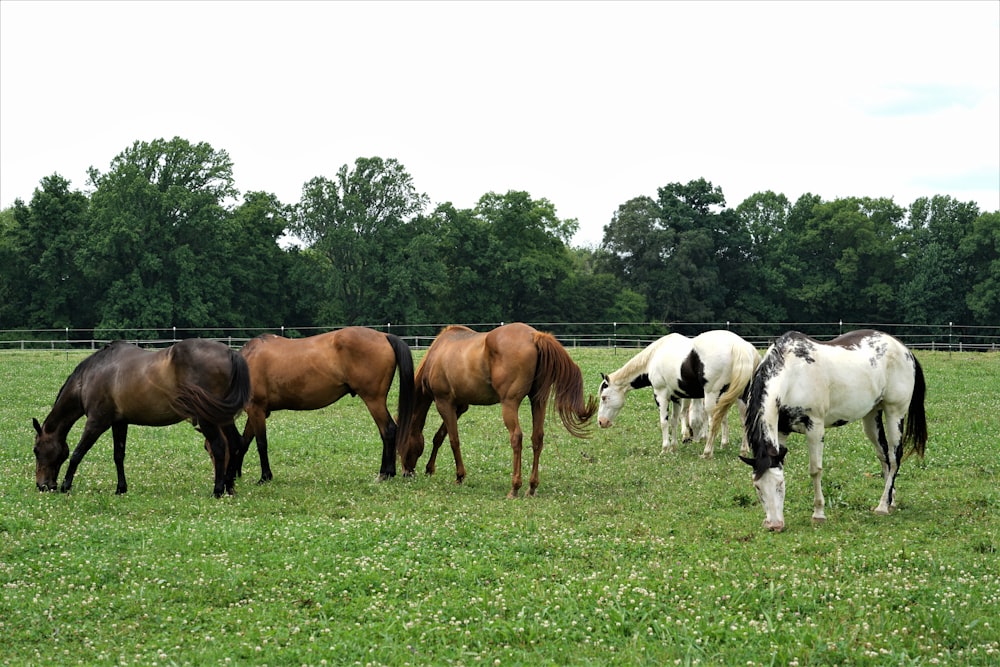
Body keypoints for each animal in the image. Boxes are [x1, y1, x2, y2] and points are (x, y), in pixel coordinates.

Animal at [33, 342, 252, 498]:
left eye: (36, 450)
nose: (42, 485)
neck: (91, 375)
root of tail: (230, 353)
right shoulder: (119, 423)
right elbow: (118, 455)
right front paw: (121, 488)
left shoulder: (97, 422)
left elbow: (78, 453)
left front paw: (66, 485)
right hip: (223, 417)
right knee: (235, 443)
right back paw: (229, 486)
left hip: (209, 418)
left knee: (219, 446)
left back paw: (218, 490)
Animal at [232, 328, 416, 480]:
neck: (249, 361)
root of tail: (384, 335)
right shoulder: (257, 411)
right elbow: (244, 442)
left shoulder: (256, 409)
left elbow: (261, 444)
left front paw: (265, 477)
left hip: (373, 400)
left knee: (388, 431)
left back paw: (385, 473)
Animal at [398, 324, 596, 496]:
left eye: (401, 445)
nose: (406, 473)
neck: (437, 354)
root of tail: (534, 336)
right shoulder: (459, 406)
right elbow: (439, 437)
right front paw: (430, 469)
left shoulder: (444, 402)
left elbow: (453, 440)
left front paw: (459, 476)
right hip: (538, 401)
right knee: (537, 438)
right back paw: (531, 487)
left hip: (509, 404)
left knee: (516, 437)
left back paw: (515, 487)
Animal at [592, 330, 756, 460]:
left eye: (604, 398)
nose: (601, 422)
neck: (654, 356)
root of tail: (738, 345)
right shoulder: (676, 398)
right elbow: (674, 421)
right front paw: (674, 447)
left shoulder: (661, 395)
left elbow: (664, 422)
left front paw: (665, 449)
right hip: (739, 397)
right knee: (742, 420)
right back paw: (743, 450)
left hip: (712, 396)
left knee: (714, 421)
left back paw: (707, 452)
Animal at [744, 330, 928, 532]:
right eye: (757, 487)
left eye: (780, 485)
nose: (774, 525)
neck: (793, 373)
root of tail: (905, 350)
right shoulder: (781, 431)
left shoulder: (815, 427)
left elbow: (815, 470)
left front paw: (818, 514)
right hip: (872, 417)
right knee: (884, 456)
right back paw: (890, 501)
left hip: (895, 413)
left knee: (895, 458)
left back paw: (881, 507)